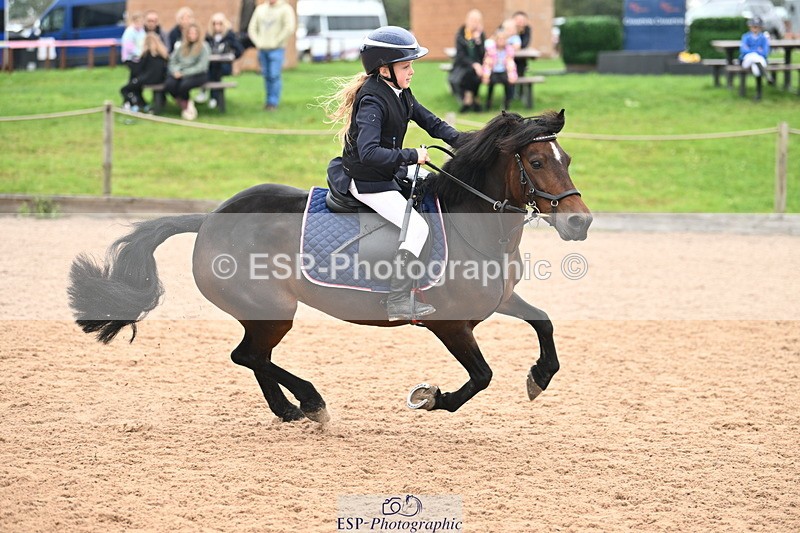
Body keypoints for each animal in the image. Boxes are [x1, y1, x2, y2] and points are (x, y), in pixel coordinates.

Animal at [68, 110, 592, 424]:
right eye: (538, 162)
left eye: (567, 158)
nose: (581, 222)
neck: (475, 227)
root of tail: (210, 218)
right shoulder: (448, 324)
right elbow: (481, 376)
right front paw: (432, 397)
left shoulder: (499, 300)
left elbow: (543, 323)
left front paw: (540, 377)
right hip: (273, 311)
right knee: (249, 355)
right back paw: (309, 401)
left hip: (266, 314)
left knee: (251, 356)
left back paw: (291, 409)